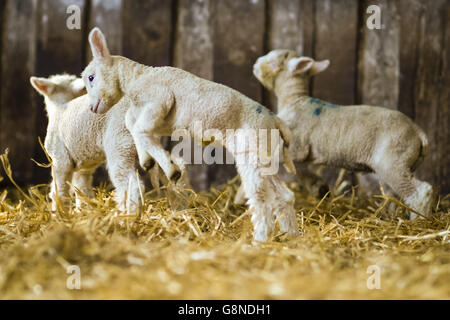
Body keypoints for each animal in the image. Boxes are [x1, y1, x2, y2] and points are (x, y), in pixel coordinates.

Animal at [29, 74, 145, 215]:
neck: (61, 107)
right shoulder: (84, 166)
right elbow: (82, 189)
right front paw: (83, 211)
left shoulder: (60, 159)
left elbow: (59, 190)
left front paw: (59, 213)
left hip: (120, 142)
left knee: (131, 185)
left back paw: (126, 216)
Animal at [81, 28, 298, 242]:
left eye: (91, 77)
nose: (92, 108)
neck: (138, 78)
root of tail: (277, 122)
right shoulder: (152, 116)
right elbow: (132, 123)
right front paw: (147, 160)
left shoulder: (159, 99)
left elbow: (141, 129)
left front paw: (170, 169)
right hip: (265, 156)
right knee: (284, 196)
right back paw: (291, 235)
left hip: (251, 151)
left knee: (261, 198)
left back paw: (260, 239)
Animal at [251, 50, 434, 220]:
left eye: (273, 63)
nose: (255, 65)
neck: (295, 100)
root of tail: (419, 133)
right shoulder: (303, 153)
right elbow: (302, 170)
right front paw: (318, 187)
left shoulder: (296, 147)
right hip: (402, 165)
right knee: (395, 195)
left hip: (393, 162)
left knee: (420, 192)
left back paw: (418, 219)